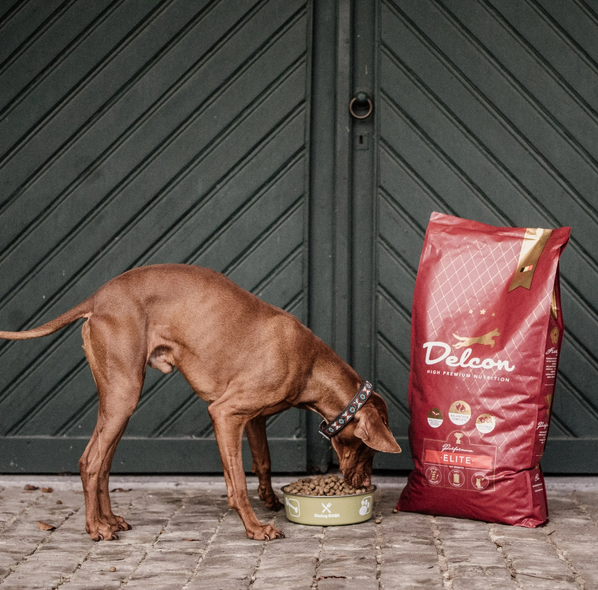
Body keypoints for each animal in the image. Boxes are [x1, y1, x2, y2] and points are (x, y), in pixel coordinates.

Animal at [2, 266, 404, 544]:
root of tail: (98, 298)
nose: (365, 485)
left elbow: (261, 463)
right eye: (368, 450)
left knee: (102, 464)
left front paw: (270, 500)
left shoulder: (253, 420)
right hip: (123, 396)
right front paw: (255, 528)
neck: (311, 364)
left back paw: (110, 520)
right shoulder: (225, 414)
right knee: (90, 462)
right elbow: (237, 482)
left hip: (118, 403)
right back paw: (96, 528)